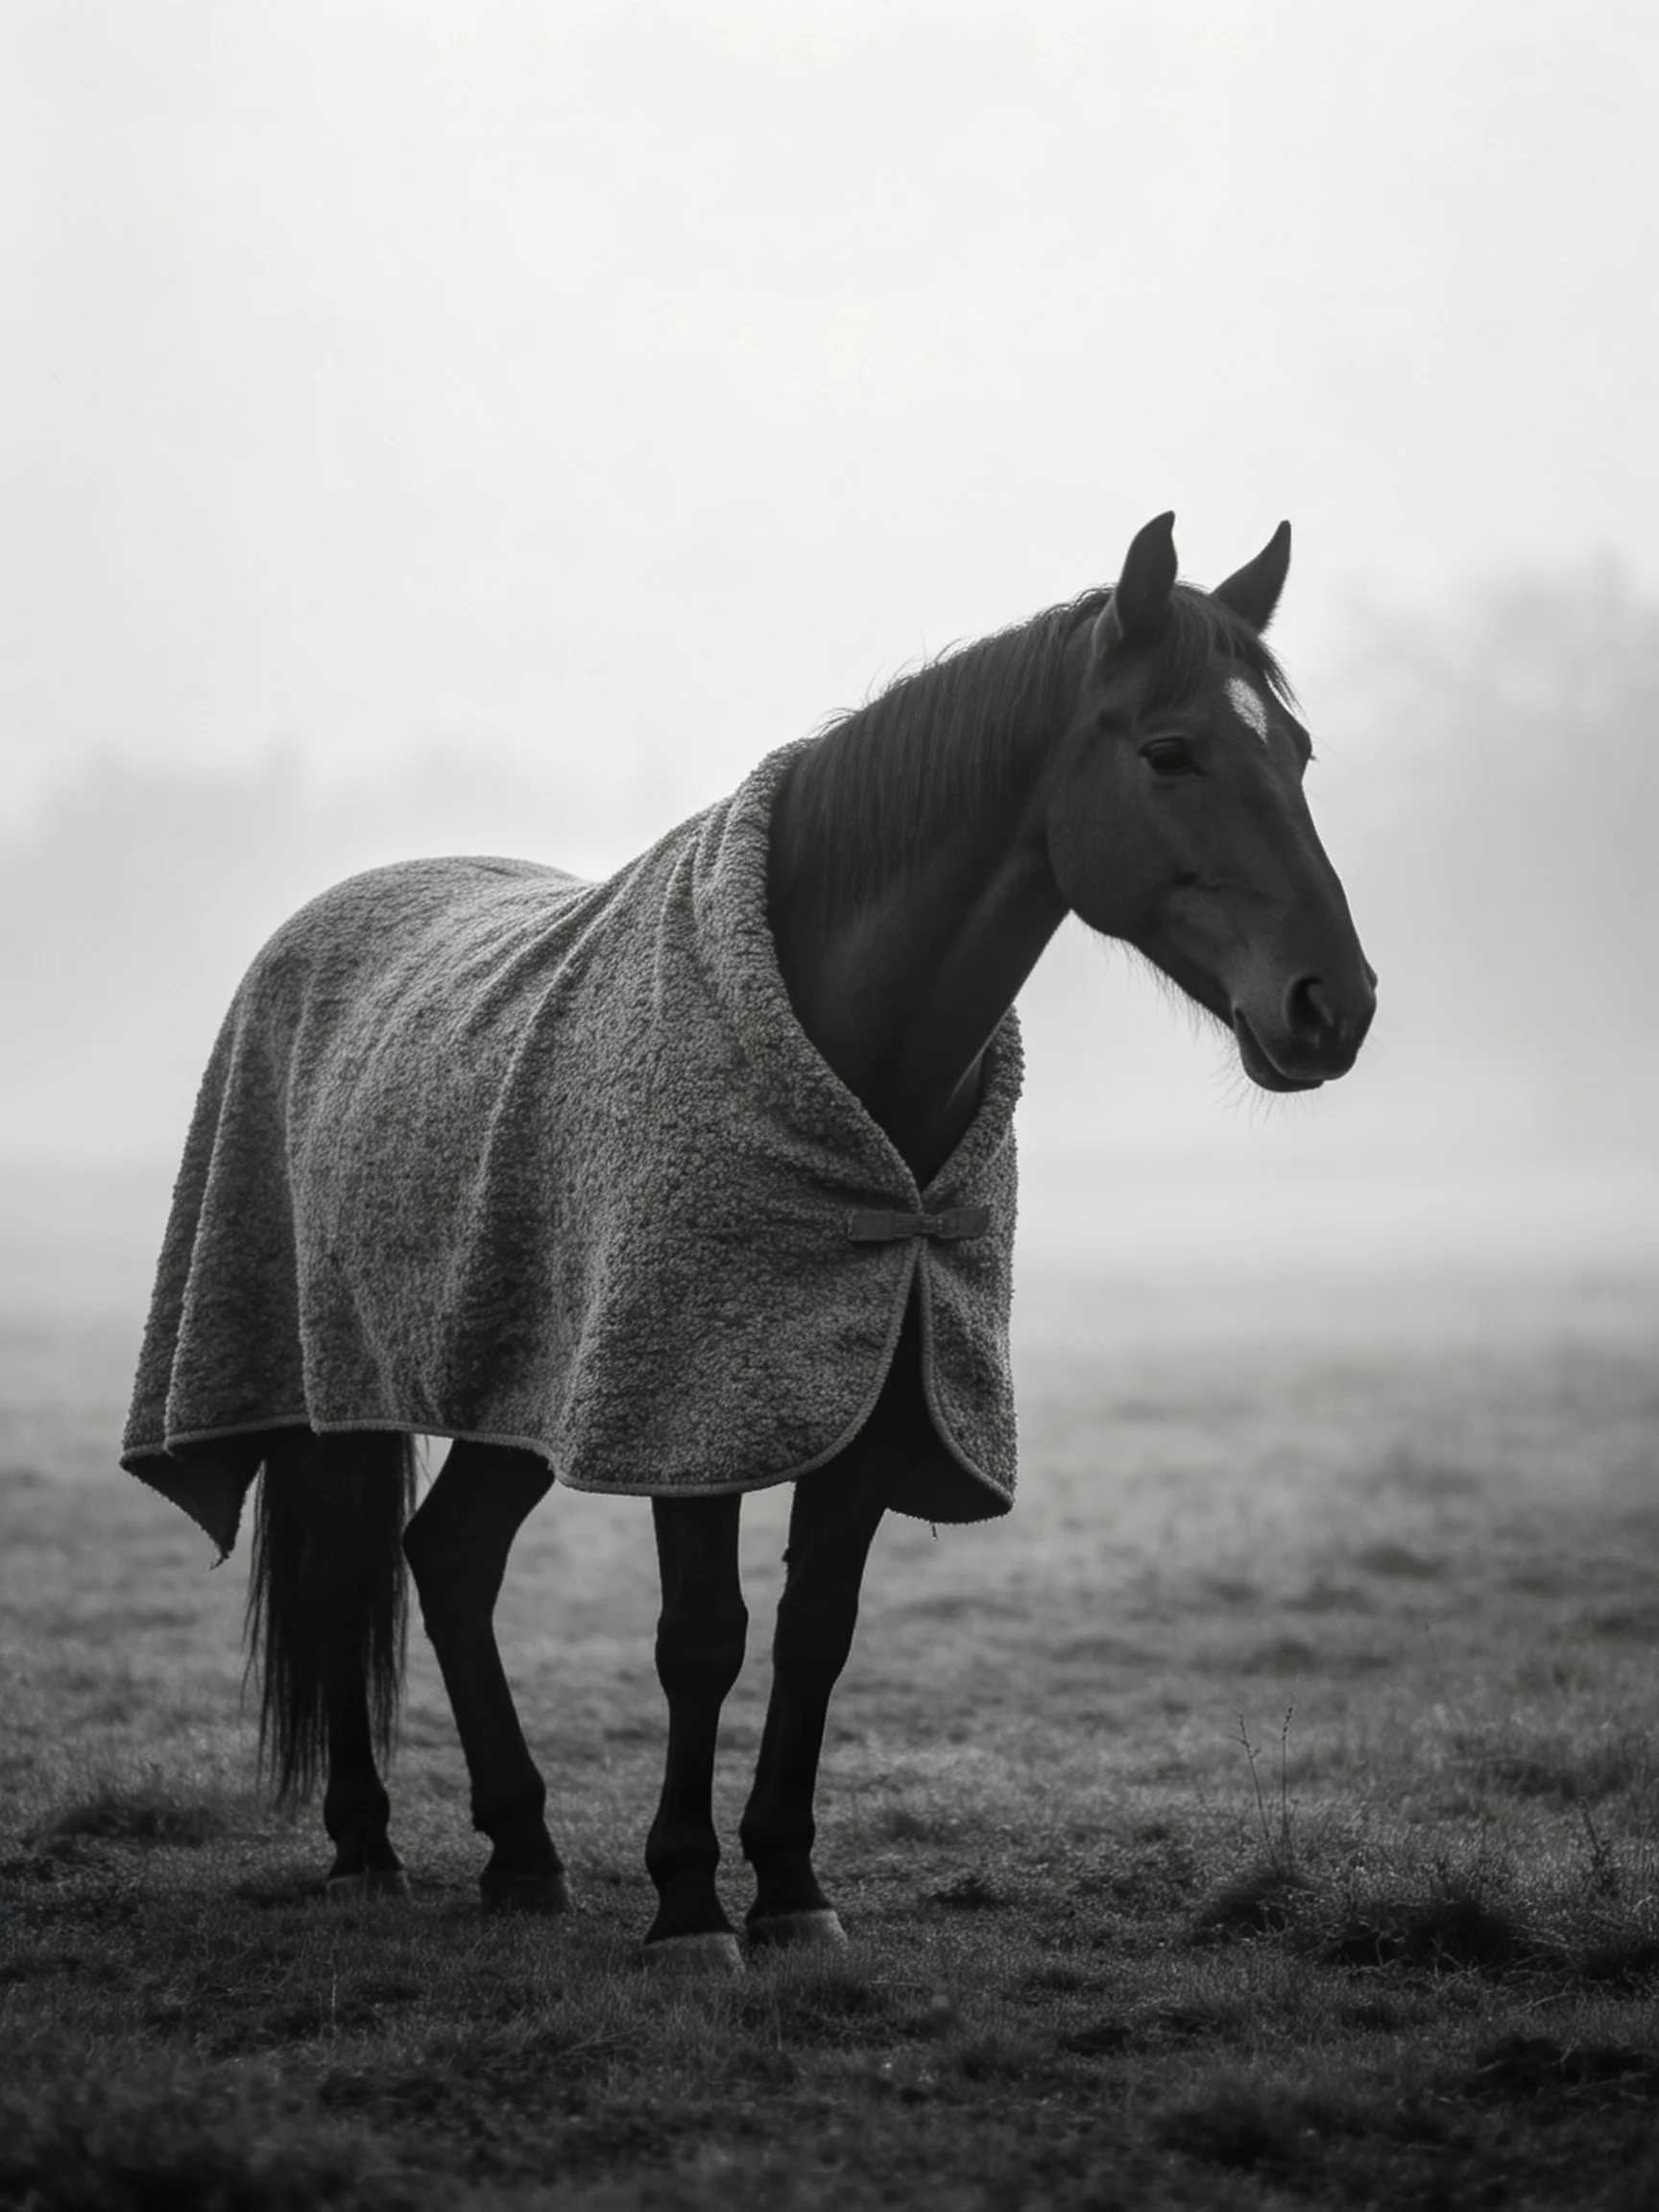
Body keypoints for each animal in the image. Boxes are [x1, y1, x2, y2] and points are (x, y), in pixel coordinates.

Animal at [122, 513, 1374, 1973]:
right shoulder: (691, 1403)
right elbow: (701, 1639)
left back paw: (523, 1853)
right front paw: (686, 1906)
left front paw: (789, 1887)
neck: (850, 1059)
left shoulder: (874, 1389)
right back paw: (370, 1846)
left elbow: (814, 1632)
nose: (1334, 1005)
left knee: (450, 1558)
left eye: (1298, 753)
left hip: (510, 1391)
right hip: (327, 1386)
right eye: (1171, 750)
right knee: (343, 1576)